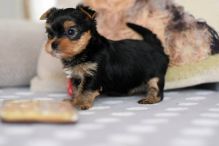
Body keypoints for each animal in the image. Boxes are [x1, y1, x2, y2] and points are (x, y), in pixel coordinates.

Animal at [40, 5, 169, 109]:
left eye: (71, 31)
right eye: (49, 34)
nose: (53, 44)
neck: (86, 50)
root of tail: (155, 45)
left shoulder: (93, 73)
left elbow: (85, 89)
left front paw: (81, 103)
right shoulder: (76, 77)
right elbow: (77, 90)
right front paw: (74, 100)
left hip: (155, 74)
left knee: (157, 88)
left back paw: (151, 98)